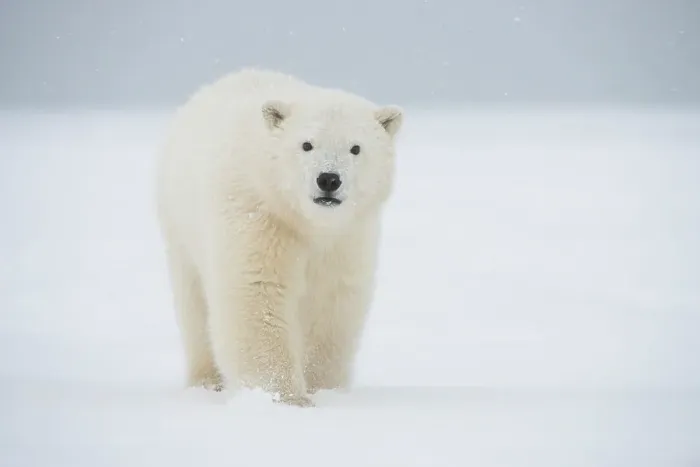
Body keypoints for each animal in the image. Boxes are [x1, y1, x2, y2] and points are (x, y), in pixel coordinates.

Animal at [155, 68, 403, 407]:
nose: (329, 179)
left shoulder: (347, 237)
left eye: (356, 148)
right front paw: (287, 397)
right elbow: (257, 291)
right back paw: (206, 382)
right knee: (194, 305)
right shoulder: (258, 217)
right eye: (306, 144)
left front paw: (323, 389)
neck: (306, 221)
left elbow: (331, 301)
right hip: (180, 226)